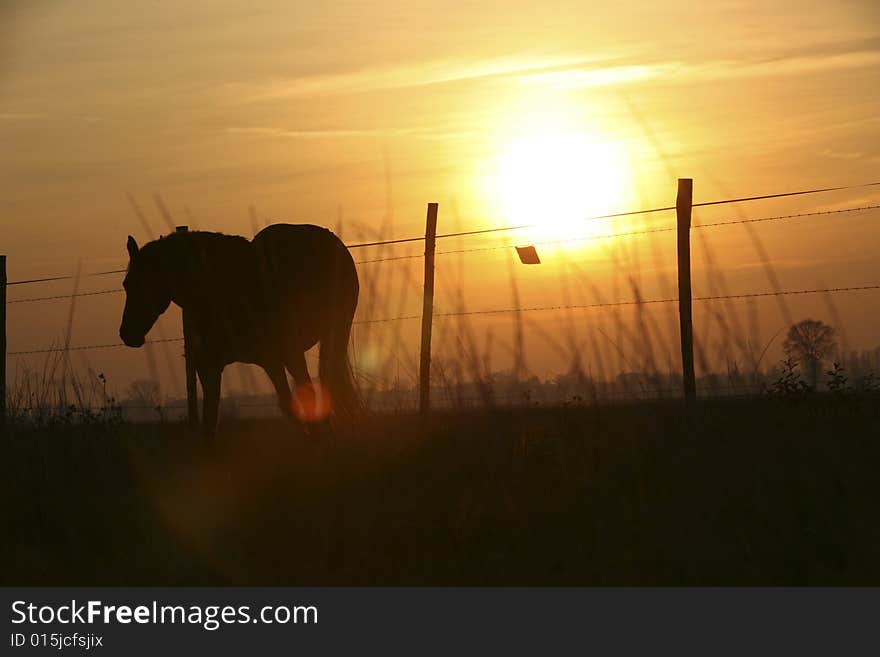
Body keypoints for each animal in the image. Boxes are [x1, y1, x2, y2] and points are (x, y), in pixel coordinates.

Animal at [120, 224, 360, 436]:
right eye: (126, 284)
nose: (127, 334)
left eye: (147, 283)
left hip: (330, 335)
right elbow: (209, 423)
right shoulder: (211, 366)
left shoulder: (288, 354)